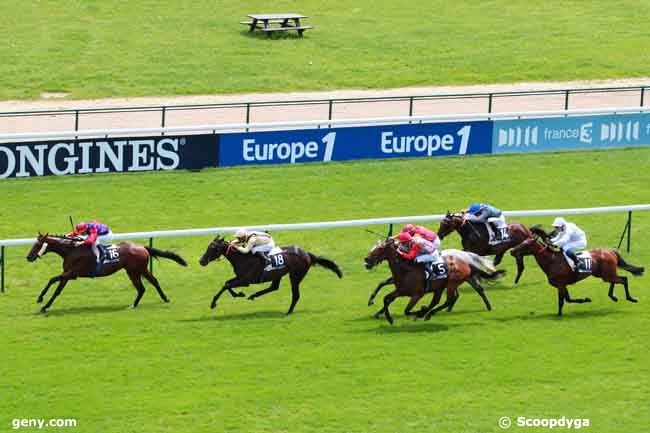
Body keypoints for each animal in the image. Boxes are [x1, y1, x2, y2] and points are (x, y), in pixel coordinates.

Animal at [25, 231, 187, 312]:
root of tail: (142, 247)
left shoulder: (72, 273)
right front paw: (45, 306)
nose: (28, 257)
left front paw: (40, 298)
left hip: (133, 271)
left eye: (38, 244)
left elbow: (52, 279)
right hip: (141, 269)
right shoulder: (68, 275)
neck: (71, 250)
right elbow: (57, 290)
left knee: (141, 288)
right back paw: (165, 298)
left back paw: (133, 305)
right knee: (153, 281)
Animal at [197, 236, 342, 314]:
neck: (242, 257)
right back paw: (254, 295)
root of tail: (308, 254)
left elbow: (227, 285)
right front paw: (239, 294)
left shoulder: (245, 280)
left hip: (295, 276)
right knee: (274, 287)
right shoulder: (240, 278)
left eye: (212, 248)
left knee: (295, 295)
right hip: (278, 274)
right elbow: (226, 283)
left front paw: (214, 303)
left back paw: (288, 312)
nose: (201, 261)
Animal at [362, 236, 504, 324]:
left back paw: (428, 313)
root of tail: (465, 261)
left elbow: (406, 310)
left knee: (450, 299)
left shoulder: (417, 294)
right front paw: (386, 316)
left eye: (380, 248)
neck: (406, 269)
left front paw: (419, 311)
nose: (366, 260)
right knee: (440, 300)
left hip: (452, 283)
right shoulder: (400, 291)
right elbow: (386, 298)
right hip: (442, 286)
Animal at [512, 226, 644, 314]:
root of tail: (611, 251)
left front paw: (559, 315)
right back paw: (613, 296)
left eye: (525, 244)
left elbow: (561, 301)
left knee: (623, 279)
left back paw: (630, 298)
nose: (512, 251)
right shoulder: (563, 285)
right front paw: (585, 299)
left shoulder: (560, 285)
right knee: (617, 280)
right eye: (522, 241)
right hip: (603, 274)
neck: (552, 261)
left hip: (606, 274)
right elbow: (568, 299)